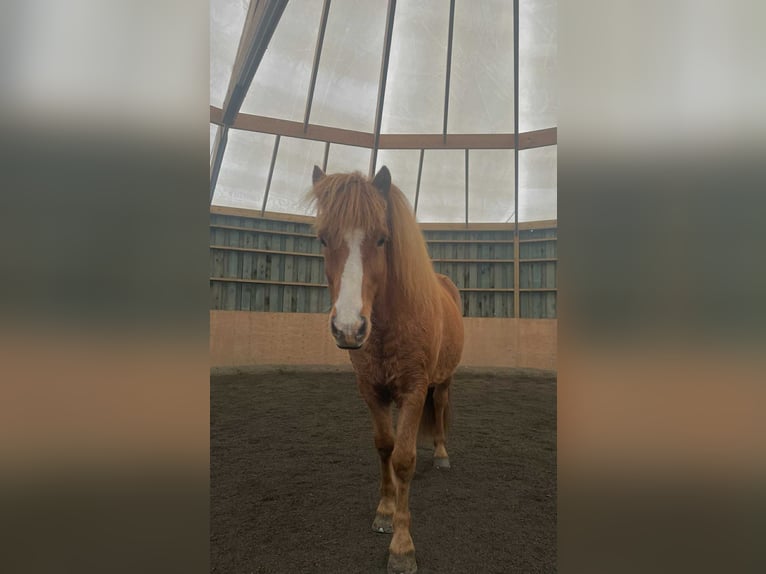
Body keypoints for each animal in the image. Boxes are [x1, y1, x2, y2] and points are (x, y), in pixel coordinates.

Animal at [309, 165, 464, 574]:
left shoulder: (414, 390)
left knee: (440, 409)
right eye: (323, 239)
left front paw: (402, 546)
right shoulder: (371, 391)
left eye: (381, 239)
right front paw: (385, 511)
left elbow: (405, 459)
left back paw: (441, 455)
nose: (349, 328)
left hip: (442, 381)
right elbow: (384, 448)